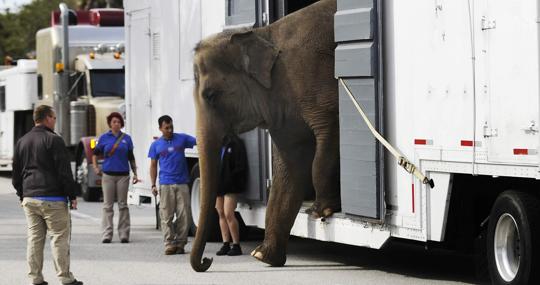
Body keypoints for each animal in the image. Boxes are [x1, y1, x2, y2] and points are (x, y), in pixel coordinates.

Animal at [192, 0, 340, 270]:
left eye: (210, 95)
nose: (207, 260)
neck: (264, 34)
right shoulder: (282, 108)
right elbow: (290, 167)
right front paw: (262, 256)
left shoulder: (312, 77)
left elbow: (330, 129)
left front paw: (320, 211)